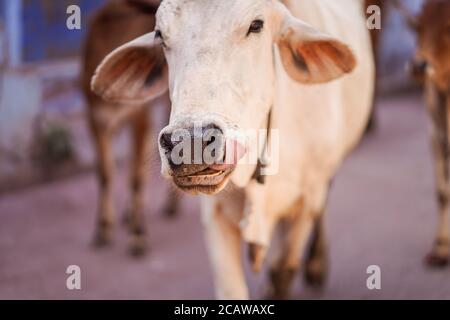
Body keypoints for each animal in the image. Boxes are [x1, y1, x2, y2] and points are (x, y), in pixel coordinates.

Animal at [81, 0, 176, 255]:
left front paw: (138, 235)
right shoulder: (95, 118)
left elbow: (136, 175)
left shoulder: (139, 117)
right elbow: (105, 172)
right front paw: (102, 230)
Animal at [91, 0, 372, 300]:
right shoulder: (214, 215)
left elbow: (283, 272)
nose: (190, 143)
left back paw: (317, 264)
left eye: (256, 25)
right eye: (160, 35)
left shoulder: (308, 199)